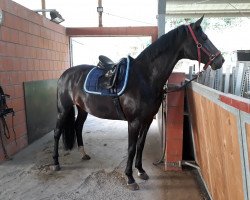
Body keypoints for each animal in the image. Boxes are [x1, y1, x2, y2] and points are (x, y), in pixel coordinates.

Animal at [52, 16, 225, 189]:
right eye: (204, 38)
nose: (220, 60)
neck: (144, 77)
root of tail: (65, 74)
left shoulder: (147, 120)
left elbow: (140, 145)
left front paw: (141, 171)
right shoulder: (134, 122)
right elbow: (131, 148)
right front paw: (130, 178)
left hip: (82, 108)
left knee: (78, 126)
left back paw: (84, 154)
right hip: (63, 109)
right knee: (57, 132)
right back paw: (55, 163)